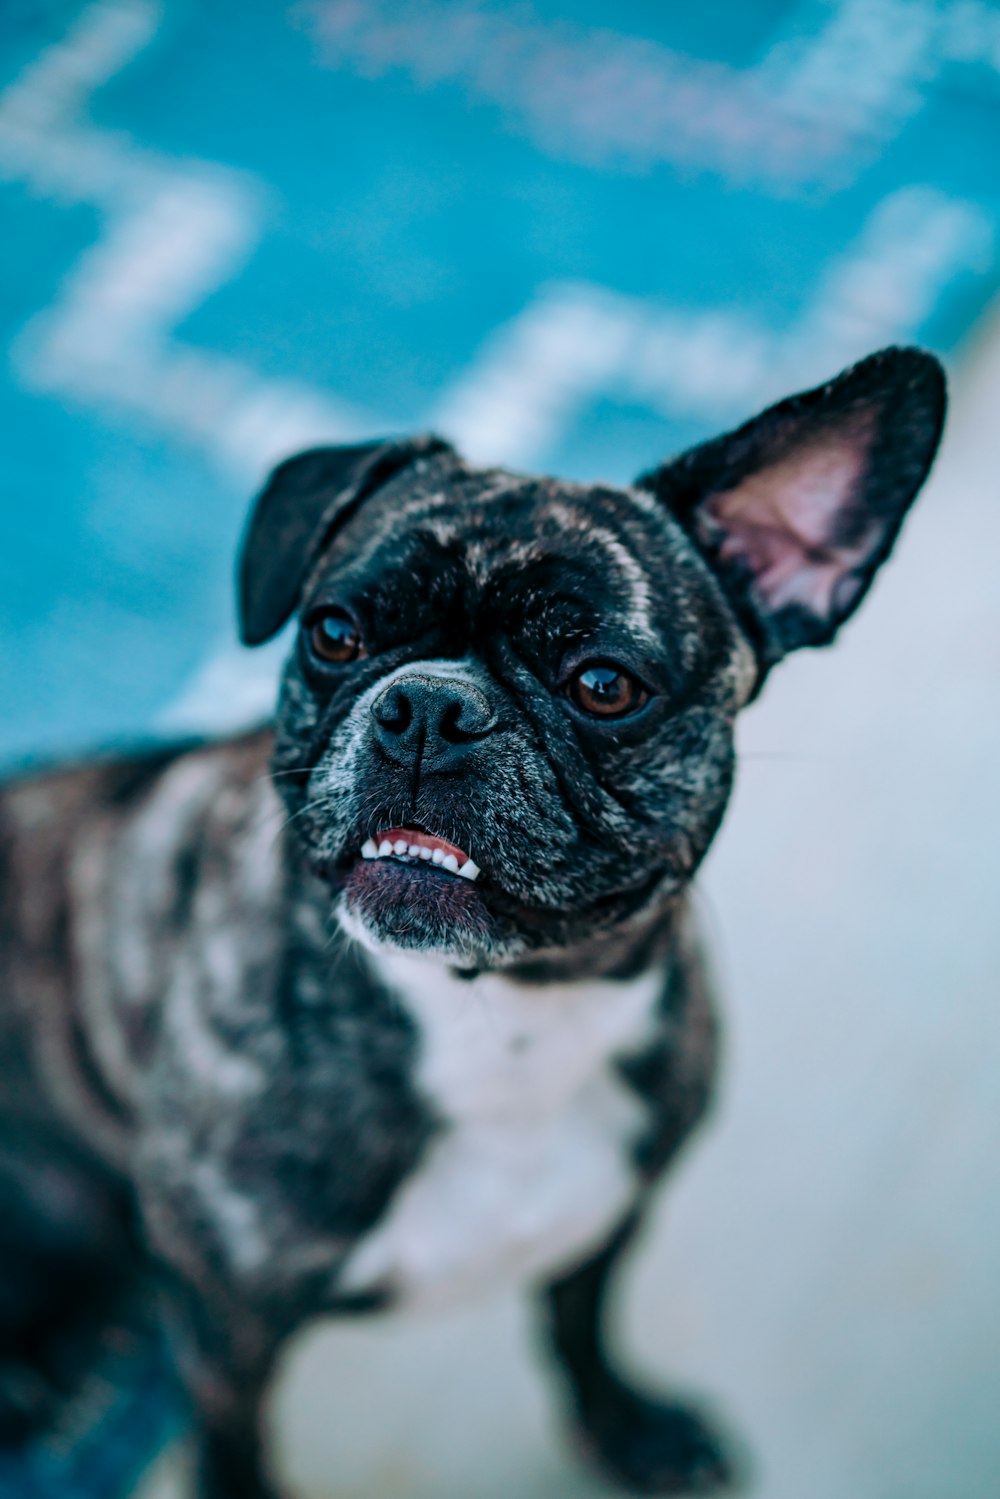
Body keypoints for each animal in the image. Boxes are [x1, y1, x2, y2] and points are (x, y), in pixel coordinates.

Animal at [0, 344, 947, 1493]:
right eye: (334, 632)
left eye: (604, 684)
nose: (427, 706)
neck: (500, 1015)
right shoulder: (229, 1330)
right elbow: (235, 1446)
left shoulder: (605, 1219)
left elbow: (581, 1328)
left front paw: (626, 1429)